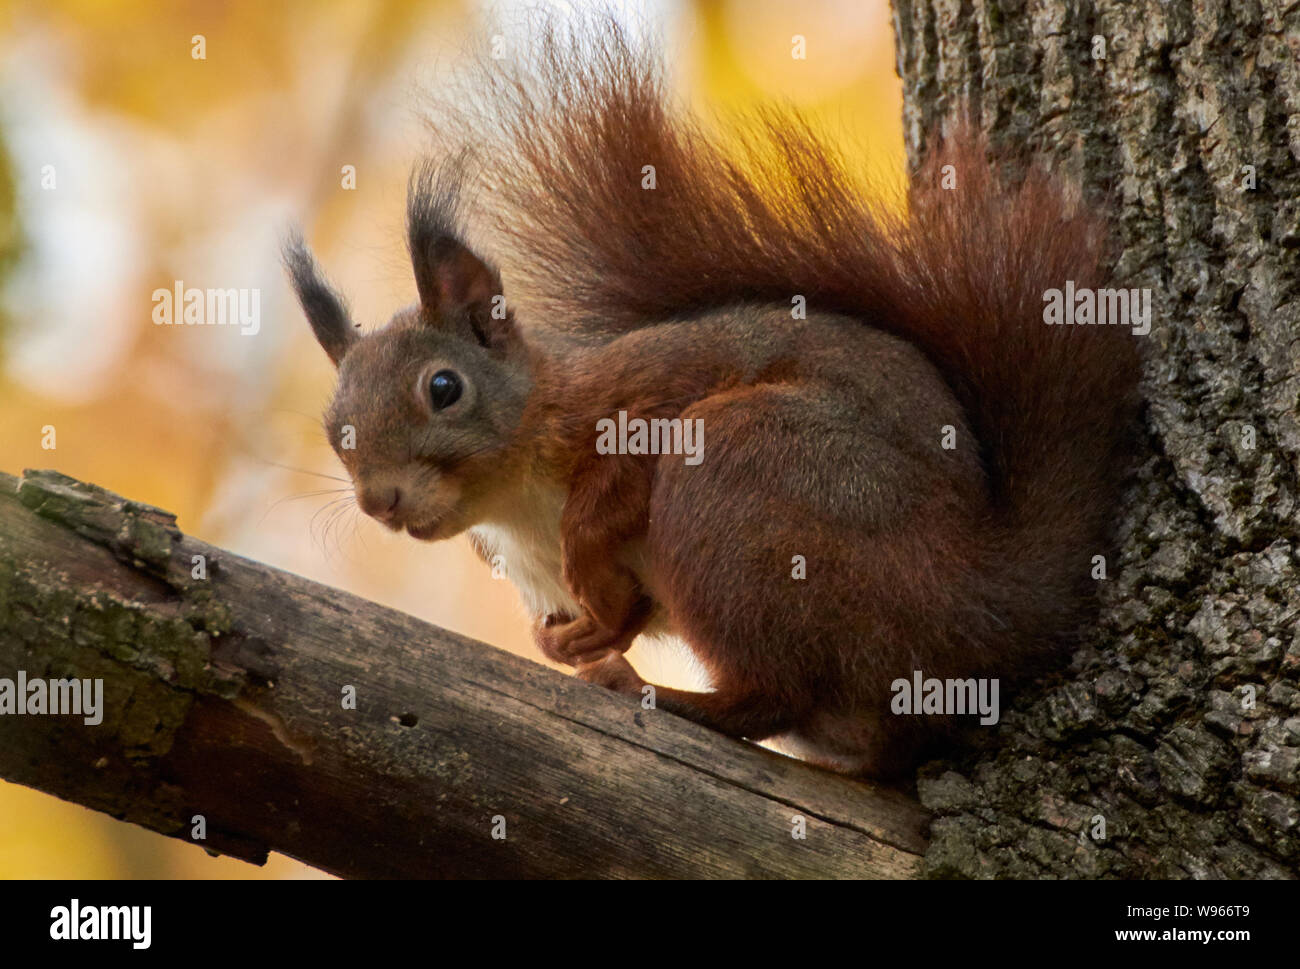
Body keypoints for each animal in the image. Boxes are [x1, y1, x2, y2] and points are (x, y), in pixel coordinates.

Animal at [282, 24, 1138, 780]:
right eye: (334, 429)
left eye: (443, 388)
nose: (380, 501)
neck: (515, 503)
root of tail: (979, 602)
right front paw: (574, 636)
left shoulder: (649, 391)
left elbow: (619, 475)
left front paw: (587, 564)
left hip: (744, 471)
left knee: (772, 694)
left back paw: (663, 696)